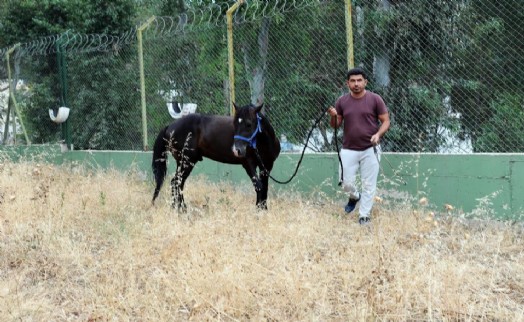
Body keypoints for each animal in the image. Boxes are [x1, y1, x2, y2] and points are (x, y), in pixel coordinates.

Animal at [151, 102, 280, 210]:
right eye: (234, 124)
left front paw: (263, 210)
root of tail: (170, 126)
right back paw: (182, 210)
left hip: (184, 162)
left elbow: (264, 188)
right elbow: (259, 187)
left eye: (249, 124)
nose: (237, 150)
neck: (263, 144)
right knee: (176, 182)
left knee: (178, 183)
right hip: (186, 162)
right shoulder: (248, 164)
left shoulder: (266, 166)